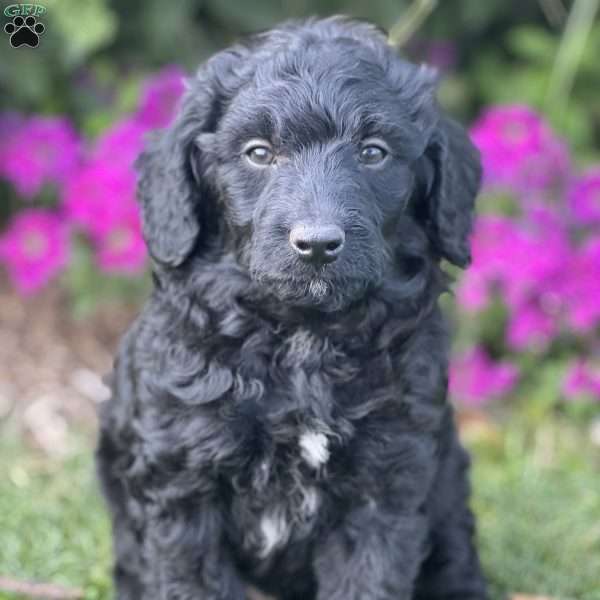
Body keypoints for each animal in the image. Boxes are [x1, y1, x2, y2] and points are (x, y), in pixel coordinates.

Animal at [95, 17, 488, 600]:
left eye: (373, 153)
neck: (303, 338)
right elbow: (193, 578)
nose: (318, 244)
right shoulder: (183, 483)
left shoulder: (384, 481)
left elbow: (368, 578)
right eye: (259, 153)